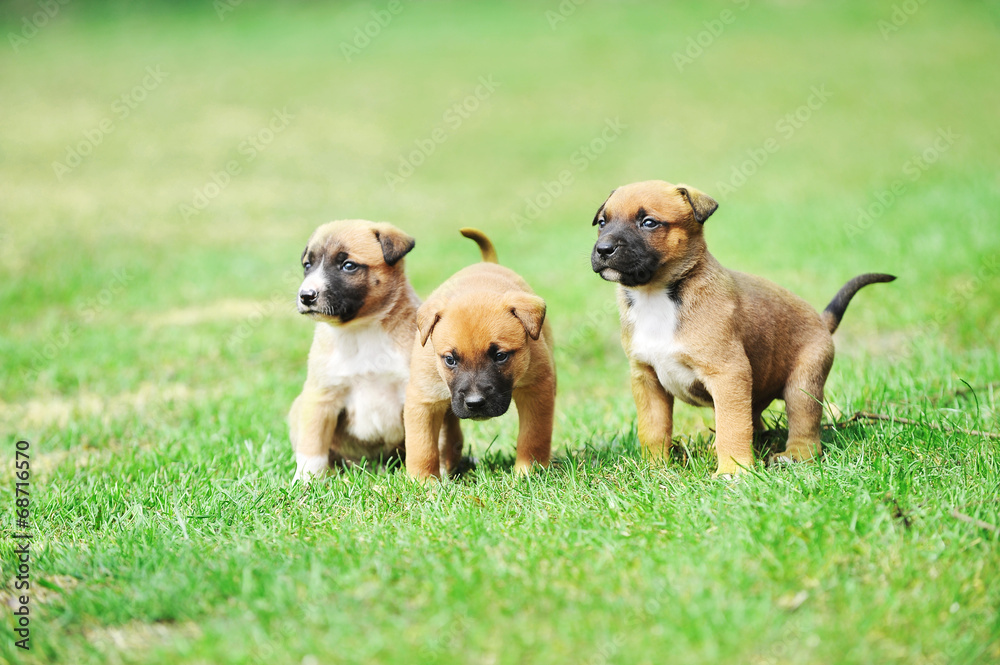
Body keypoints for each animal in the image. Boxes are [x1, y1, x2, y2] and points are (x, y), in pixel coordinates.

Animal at [288, 220, 462, 480]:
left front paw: (438, 478)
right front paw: (306, 480)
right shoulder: (321, 396)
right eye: (308, 265)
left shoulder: (421, 393)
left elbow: (433, 442)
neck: (361, 329)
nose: (306, 296)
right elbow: (312, 445)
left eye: (348, 266)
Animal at [404, 228, 556, 478]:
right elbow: (421, 447)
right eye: (450, 360)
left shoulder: (537, 390)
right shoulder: (423, 400)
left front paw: (527, 472)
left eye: (500, 356)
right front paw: (424, 481)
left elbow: (533, 436)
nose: (475, 403)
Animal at [588, 179, 896, 474]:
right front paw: (655, 468)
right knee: (754, 420)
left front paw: (734, 471)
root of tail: (822, 319)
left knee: (804, 426)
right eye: (602, 222)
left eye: (649, 223)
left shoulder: (728, 374)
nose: (603, 249)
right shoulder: (647, 379)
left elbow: (732, 427)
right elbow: (652, 429)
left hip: (803, 384)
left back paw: (794, 455)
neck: (657, 295)